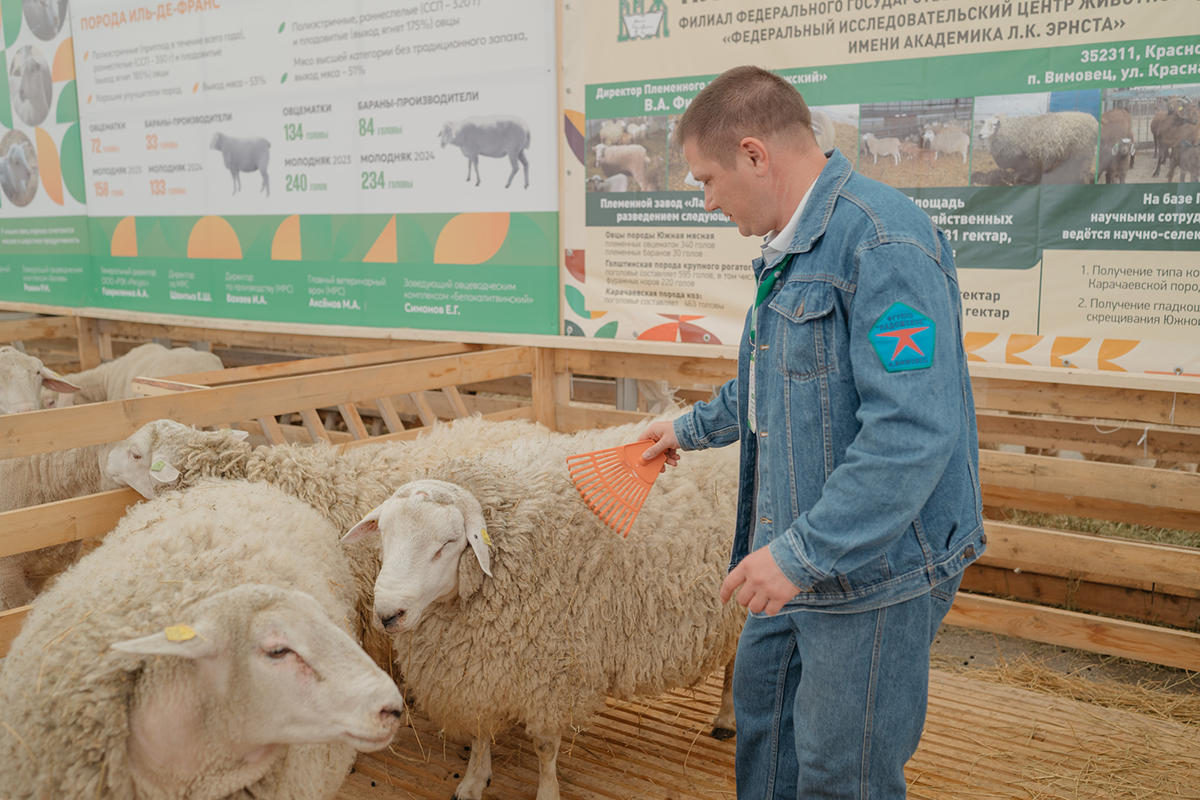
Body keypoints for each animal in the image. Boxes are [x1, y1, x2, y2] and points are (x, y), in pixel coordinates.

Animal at [338, 419, 744, 800]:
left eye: (448, 543)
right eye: (383, 533)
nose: (388, 615)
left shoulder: (552, 676)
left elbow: (545, 746)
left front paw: (547, 791)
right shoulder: (478, 672)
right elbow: (480, 731)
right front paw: (473, 781)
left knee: (734, 669)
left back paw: (727, 718)